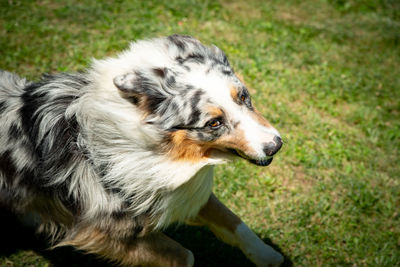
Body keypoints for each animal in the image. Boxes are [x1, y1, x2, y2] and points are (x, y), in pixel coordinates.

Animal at [0, 35, 284, 267]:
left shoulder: (179, 192)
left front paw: (267, 256)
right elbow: (185, 256)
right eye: (214, 123)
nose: (276, 145)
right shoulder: (104, 230)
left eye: (243, 97)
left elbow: (233, 222)